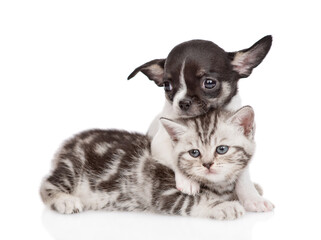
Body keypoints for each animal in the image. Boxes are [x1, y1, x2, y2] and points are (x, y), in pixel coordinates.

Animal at [39, 106, 255, 219]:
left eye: (222, 149)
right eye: (194, 153)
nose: (208, 164)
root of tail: (68, 143)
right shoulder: (164, 191)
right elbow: (197, 199)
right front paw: (224, 206)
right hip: (73, 166)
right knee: (47, 184)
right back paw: (64, 200)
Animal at [127, 36, 272, 212]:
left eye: (209, 83)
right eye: (167, 85)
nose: (182, 102)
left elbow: (243, 176)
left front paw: (252, 198)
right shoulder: (159, 144)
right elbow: (176, 156)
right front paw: (188, 180)